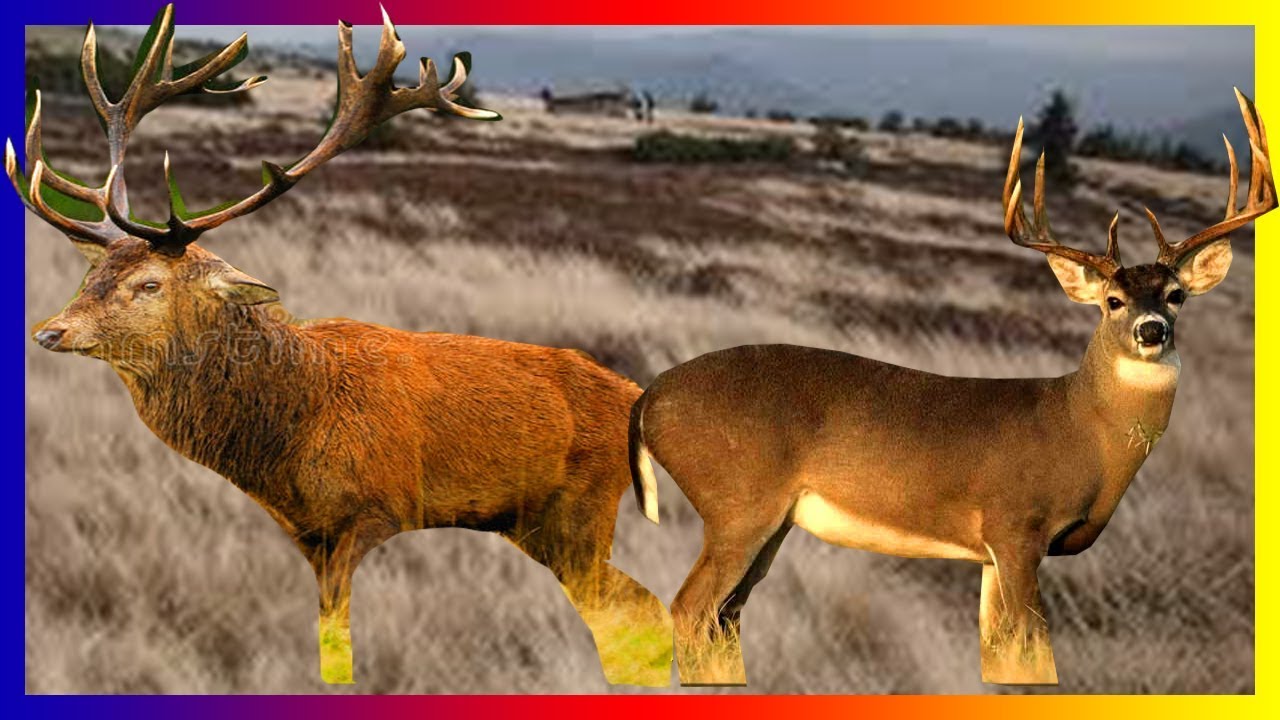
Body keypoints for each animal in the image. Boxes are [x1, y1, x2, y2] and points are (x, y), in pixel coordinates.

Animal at [16, 5, 672, 687]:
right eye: (92, 275)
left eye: (149, 283)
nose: (49, 331)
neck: (287, 434)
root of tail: (639, 399)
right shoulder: (308, 532)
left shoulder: (370, 510)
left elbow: (339, 632)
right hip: (536, 525)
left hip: (580, 511)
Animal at [628, 90, 1273, 686]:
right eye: (1112, 300)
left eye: (1176, 295)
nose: (1151, 330)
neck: (1082, 433)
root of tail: (646, 399)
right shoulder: (1017, 527)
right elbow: (1037, 655)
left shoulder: (989, 552)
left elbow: (1001, 659)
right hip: (738, 504)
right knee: (690, 608)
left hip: (770, 523)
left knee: (725, 618)